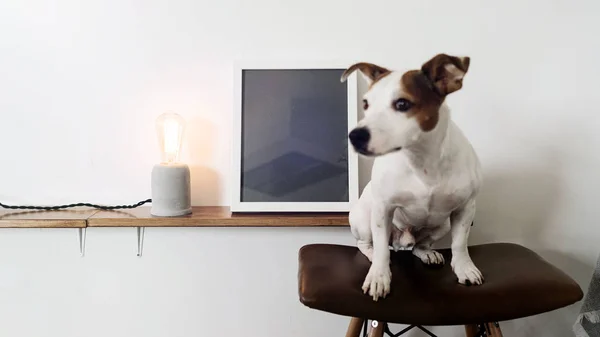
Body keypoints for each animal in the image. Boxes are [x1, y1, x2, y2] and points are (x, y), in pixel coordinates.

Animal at [342, 53, 482, 300]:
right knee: (364, 244)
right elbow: (381, 249)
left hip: (443, 224)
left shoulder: (465, 208)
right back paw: (371, 255)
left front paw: (465, 268)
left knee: (420, 245)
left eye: (402, 104)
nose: (355, 136)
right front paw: (379, 276)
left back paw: (427, 253)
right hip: (364, 220)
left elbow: (460, 244)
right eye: (366, 104)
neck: (421, 159)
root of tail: (402, 241)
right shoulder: (383, 209)